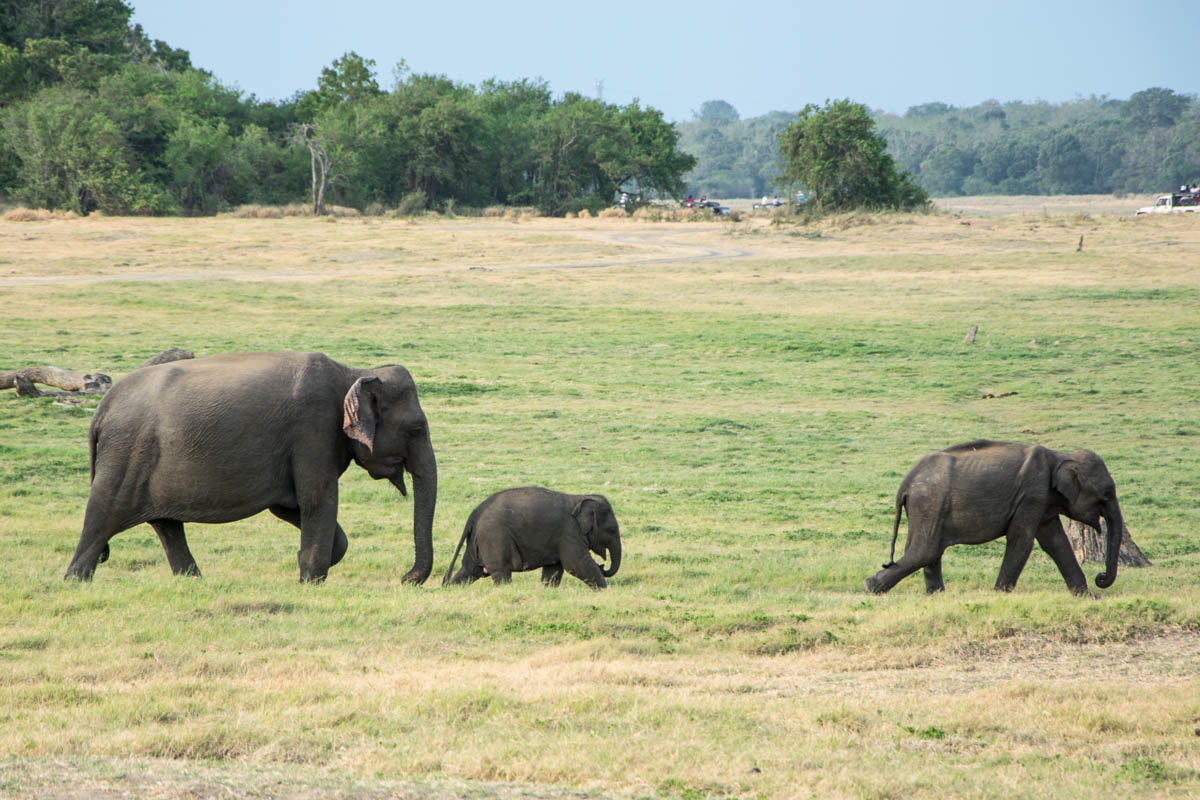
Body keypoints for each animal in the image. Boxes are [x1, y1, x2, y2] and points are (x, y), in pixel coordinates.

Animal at [63, 350, 439, 582]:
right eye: (416, 428)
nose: (405, 579)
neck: (354, 372)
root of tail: (102, 408)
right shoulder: (312, 430)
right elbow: (317, 499)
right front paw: (311, 580)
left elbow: (290, 506)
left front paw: (308, 564)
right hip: (124, 457)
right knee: (101, 518)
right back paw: (76, 580)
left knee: (167, 525)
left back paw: (193, 582)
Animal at [444, 484, 628, 592]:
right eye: (611, 530)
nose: (602, 565)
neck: (580, 497)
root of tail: (474, 514)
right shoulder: (570, 532)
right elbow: (576, 564)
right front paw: (604, 592)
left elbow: (554, 569)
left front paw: (548, 591)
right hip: (493, 538)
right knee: (501, 573)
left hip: (478, 540)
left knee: (469, 570)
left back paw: (451, 590)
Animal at [864, 441, 1123, 597]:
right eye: (1107, 494)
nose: (1101, 577)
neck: (1060, 455)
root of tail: (905, 484)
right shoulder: (1032, 495)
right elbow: (1022, 540)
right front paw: (999, 593)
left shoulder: (1043, 503)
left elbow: (1056, 543)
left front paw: (1087, 597)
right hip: (929, 503)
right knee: (925, 550)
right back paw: (870, 587)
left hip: (927, 506)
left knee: (930, 550)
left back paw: (936, 595)